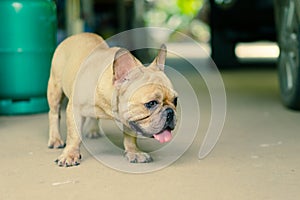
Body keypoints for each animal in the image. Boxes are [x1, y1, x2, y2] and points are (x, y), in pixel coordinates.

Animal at [47, 33, 177, 167]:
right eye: (151, 103)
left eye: (175, 100)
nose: (170, 112)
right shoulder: (75, 109)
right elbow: (74, 135)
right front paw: (70, 154)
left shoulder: (130, 119)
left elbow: (130, 137)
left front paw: (134, 152)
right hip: (55, 89)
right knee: (54, 114)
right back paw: (55, 139)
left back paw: (93, 130)